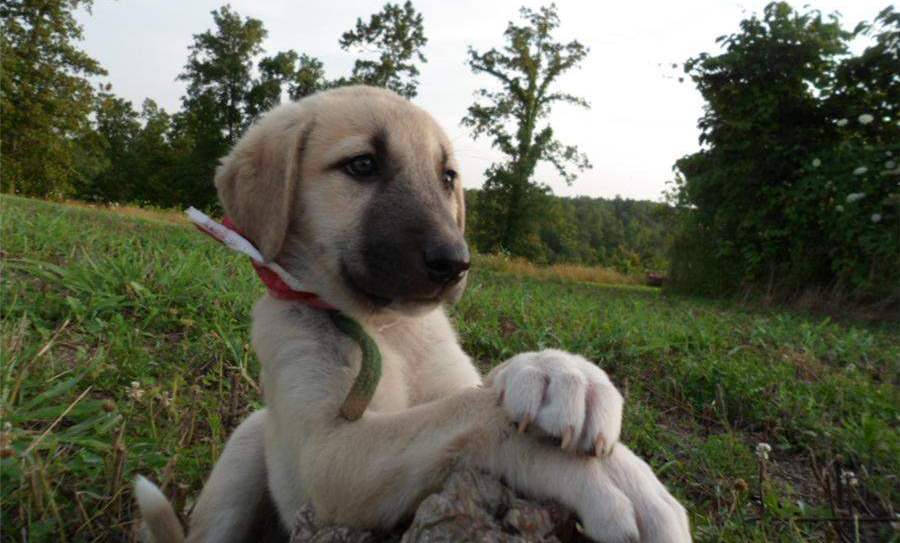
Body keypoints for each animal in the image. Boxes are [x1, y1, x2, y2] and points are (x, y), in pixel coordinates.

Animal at [137, 86, 692, 543]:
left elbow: (472, 396)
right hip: (245, 452)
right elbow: (469, 417)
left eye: (447, 178)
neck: (387, 330)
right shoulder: (328, 458)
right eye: (362, 165)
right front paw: (602, 482)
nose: (456, 263)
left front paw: (563, 375)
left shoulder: (443, 380)